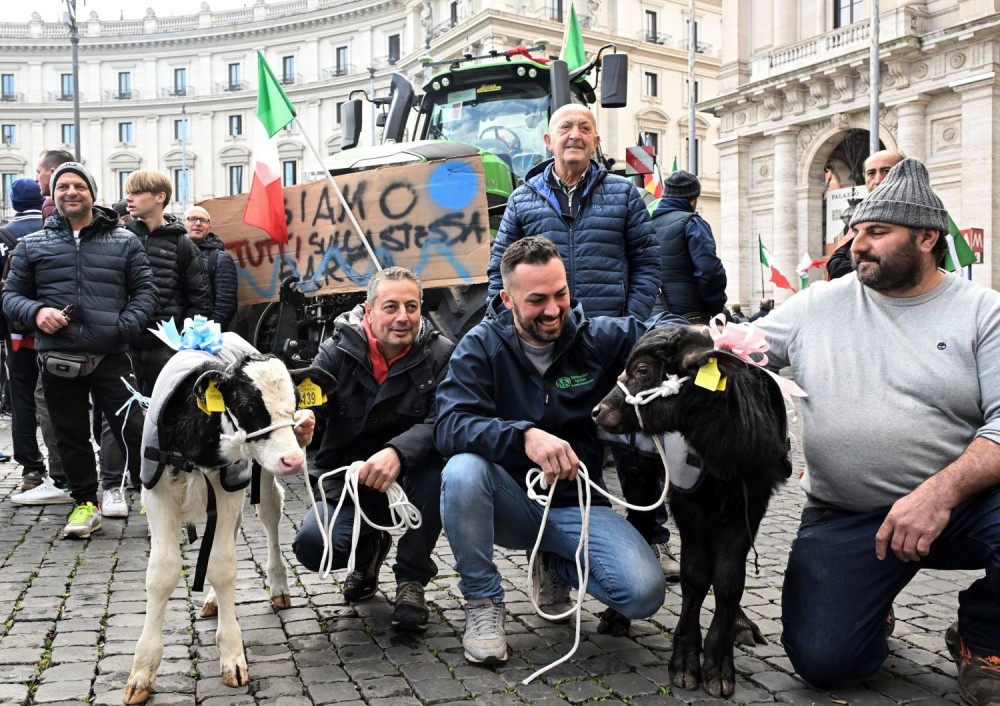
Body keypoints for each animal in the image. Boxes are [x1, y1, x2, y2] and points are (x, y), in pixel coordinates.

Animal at [125, 334, 334, 704]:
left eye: (296, 403)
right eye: (249, 407)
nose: (295, 459)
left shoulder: (229, 486)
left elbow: (222, 567)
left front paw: (232, 655)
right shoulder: (157, 492)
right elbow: (162, 572)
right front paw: (142, 671)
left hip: (254, 477)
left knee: (269, 513)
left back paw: (278, 586)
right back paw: (211, 601)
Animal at [592, 326, 788, 700]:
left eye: (642, 369)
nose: (598, 411)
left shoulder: (751, 504)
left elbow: (729, 580)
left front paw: (720, 662)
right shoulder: (688, 504)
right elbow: (695, 576)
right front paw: (685, 662)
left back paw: (741, 624)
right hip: (640, 473)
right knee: (640, 527)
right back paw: (616, 617)